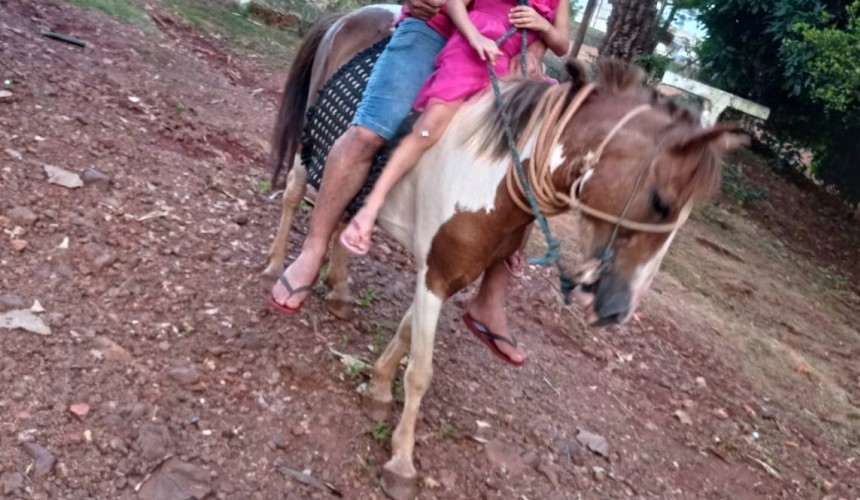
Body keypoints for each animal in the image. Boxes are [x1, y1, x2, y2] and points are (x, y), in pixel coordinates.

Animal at [263, 6, 748, 499]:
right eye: (661, 202)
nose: (617, 310)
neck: (493, 171)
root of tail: (348, 16)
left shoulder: (445, 274)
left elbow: (404, 337)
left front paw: (378, 390)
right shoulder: (435, 276)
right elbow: (420, 371)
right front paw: (401, 462)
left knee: (344, 217)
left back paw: (340, 291)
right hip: (312, 148)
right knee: (298, 194)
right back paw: (281, 272)